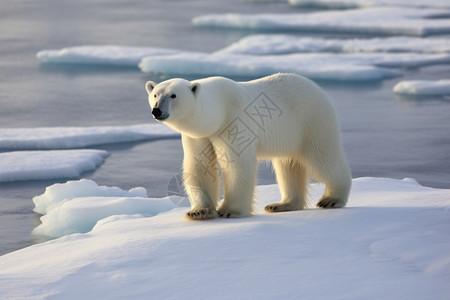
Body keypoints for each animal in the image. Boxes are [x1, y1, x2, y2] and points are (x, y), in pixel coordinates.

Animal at [146, 73, 350, 220]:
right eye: (155, 94)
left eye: (173, 95)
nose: (157, 110)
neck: (219, 110)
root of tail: (317, 88)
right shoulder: (198, 136)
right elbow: (198, 165)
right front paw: (199, 211)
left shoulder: (234, 123)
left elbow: (236, 164)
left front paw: (230, 211)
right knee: (288, 165)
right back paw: (281, 204)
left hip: (311, 122)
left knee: (322, 158)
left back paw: (331, 199)